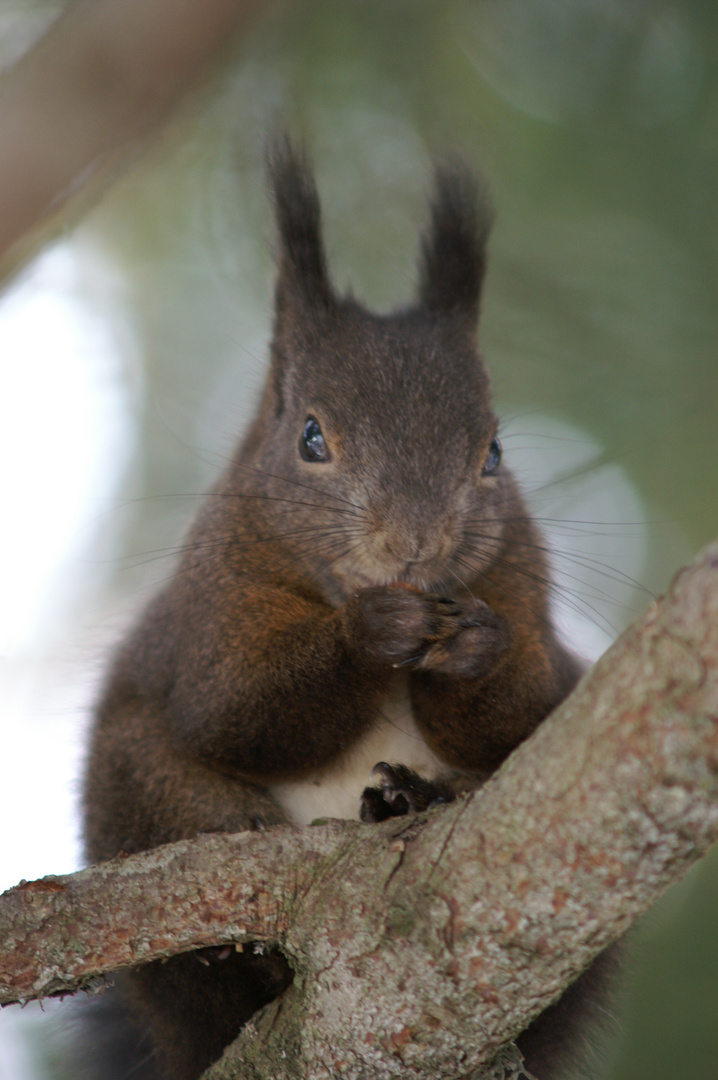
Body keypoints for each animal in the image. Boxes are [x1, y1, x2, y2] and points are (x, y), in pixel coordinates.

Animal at [80, 139, 608, 1080]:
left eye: (493, 454)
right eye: (311, 437)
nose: (414, 543)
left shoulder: (523, 583)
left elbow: (522, 720)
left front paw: (476, 645)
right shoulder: (210, 603)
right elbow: (234, 709)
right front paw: (372, 633)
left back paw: (407, 801)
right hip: (134, 785)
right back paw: (248, 945)